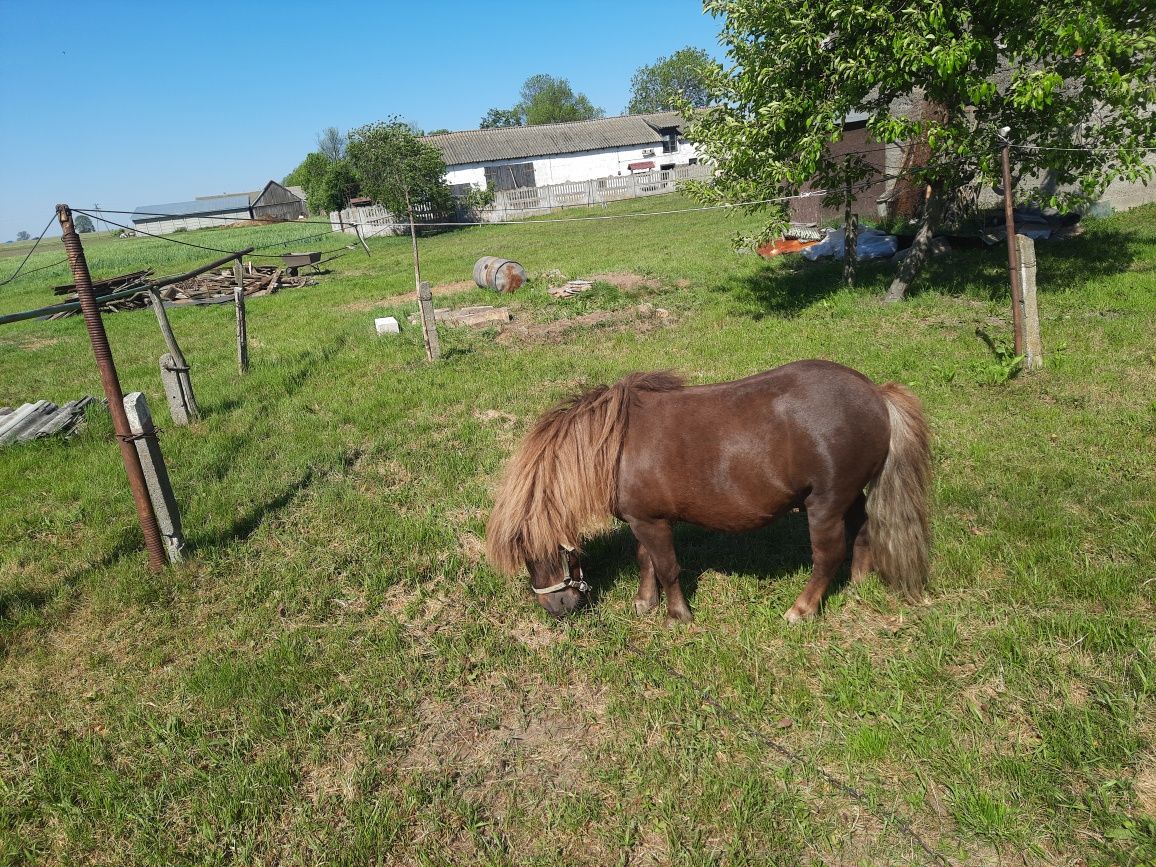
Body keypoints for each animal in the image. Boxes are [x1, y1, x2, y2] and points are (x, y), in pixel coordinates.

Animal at [485, 360, 929, 624]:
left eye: (534, 553)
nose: (555, 608)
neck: (614, 447)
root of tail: (876, 394)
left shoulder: (652, 523)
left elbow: (667, 567)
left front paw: (677, 616)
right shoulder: (644, 519)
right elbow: (646, 561)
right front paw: (645, 603)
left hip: (824, 505)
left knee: (828, 556)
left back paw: (801, 609)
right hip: (848, 497)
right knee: (864, 528)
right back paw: (858, 584)